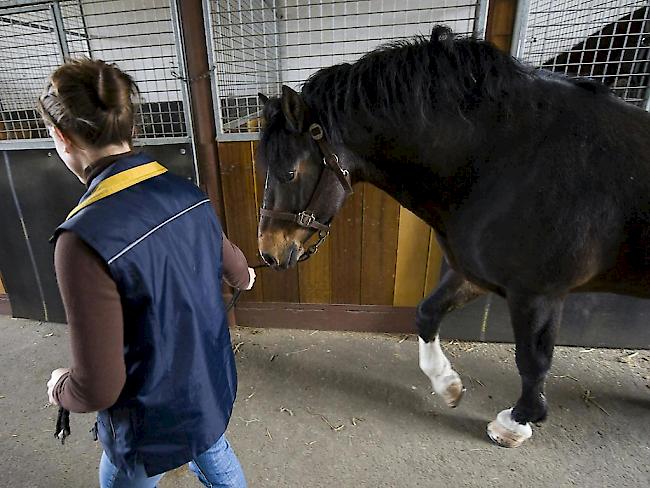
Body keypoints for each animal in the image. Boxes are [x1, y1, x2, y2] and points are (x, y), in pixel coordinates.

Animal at [253, 25, 648, 446]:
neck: (505, 161)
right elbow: (427, 313)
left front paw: (517, 421)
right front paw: (447, 386)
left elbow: (532, 361)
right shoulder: (475, 274)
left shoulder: (537, 293)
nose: (268, 252)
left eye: (289, 172)